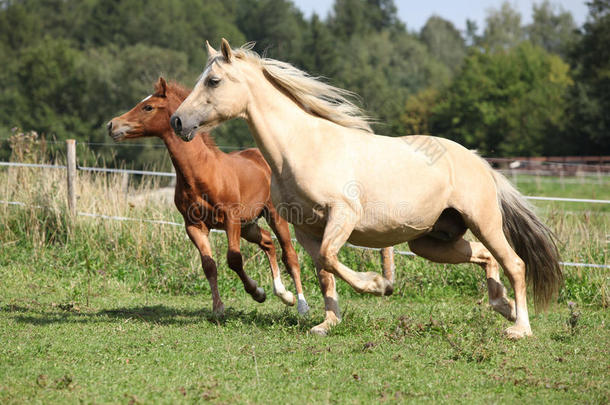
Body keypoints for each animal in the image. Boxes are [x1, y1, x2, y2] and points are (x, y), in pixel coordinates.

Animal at [105, 76, 308, 316]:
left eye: (148, 107)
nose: (112, 125)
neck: (202, 173)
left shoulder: (230, 219)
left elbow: (234, 259)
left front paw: (256, 292)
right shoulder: (194, 225)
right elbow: (209, 265)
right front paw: (219, 307)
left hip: (274, 215)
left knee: (290, 254)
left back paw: (301, 304)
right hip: (248, 225)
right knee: (268, 242)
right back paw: (283, 294)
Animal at [171, 40, 560, 338]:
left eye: (214, 81)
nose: (177, 121)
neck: (302, 146)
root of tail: (478, 161)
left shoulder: (342, 215)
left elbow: (330, 257)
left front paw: (376, 285)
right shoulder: (306, 228)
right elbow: (322, 270)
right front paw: (327, 323)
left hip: (483, 221)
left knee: (514, 263)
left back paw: (520, 327)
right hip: (431, 241)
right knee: (484, 256)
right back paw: (503, 305)